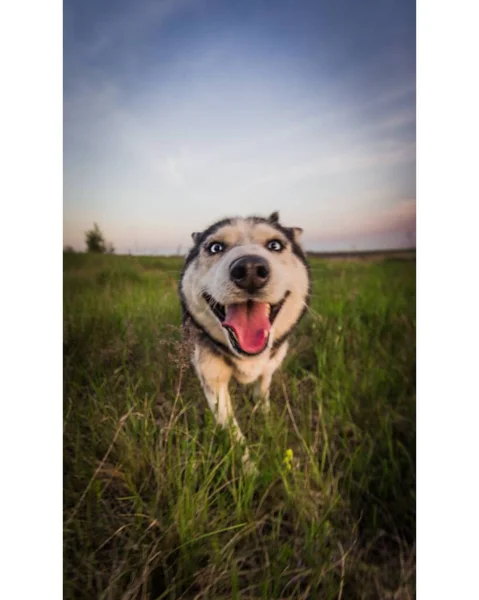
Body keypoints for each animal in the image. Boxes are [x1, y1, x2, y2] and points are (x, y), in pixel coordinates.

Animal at [179, 211, 312, 468]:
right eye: (215, 247)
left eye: (275, 245)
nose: (250, 269)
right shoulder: (213, 379)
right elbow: (233, 432)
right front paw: (250, 470)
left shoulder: (270, 365)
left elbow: (263, 392)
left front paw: (268, 422)